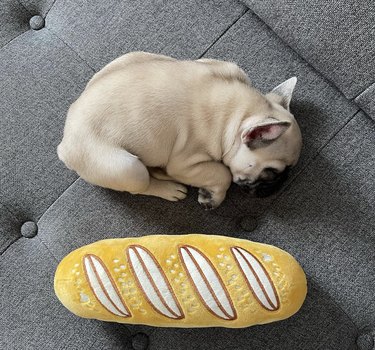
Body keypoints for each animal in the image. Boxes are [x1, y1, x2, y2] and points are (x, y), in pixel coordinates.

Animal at [59, 51, 306, 208]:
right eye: (271, 173)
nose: (281, 183)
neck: (239, 115)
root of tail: (65, 144)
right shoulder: (185, 162)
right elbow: (222, 172)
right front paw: (213, 197)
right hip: (126, 168)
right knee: (139, 186)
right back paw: (169, 189)